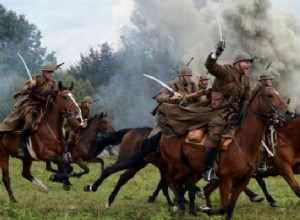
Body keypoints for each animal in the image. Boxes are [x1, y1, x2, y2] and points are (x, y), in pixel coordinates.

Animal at [159, 83, 290, 217]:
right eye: (269, 95)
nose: (289, 112)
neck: (243, 142)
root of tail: (165, 133)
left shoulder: (243, 180)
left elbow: (230, 208)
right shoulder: (226, 179)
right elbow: (224, 207)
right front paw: (204, 209)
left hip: (190, 169)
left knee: (187, 186)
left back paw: (187, 208)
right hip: (175, 165)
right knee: (170, 181)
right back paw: (179, 204)